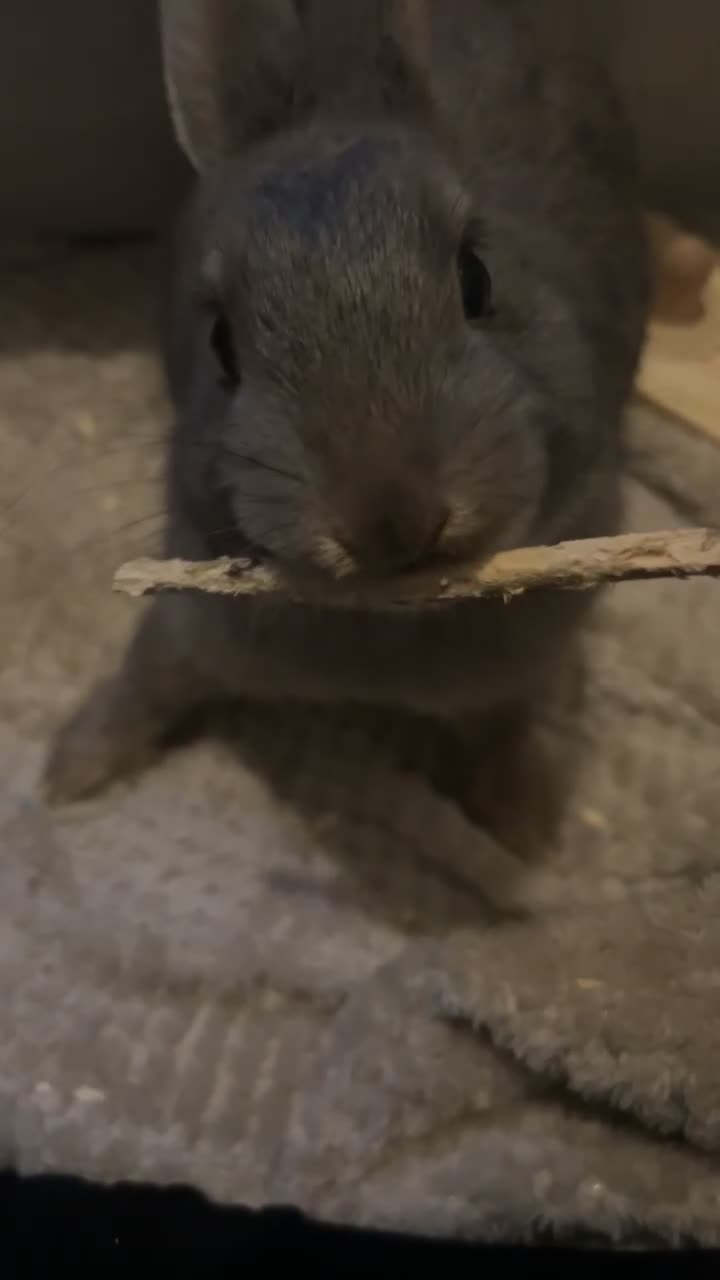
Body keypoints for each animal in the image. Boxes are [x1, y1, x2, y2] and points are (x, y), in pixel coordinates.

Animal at [44, 0, 649, 850]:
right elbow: (147, 681)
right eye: (222, 344)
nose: (389, 520)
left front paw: (522, 823)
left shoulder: (518, 672)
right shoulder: (185, 625)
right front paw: (71, 770)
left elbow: (504, 726)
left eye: (476, 277)